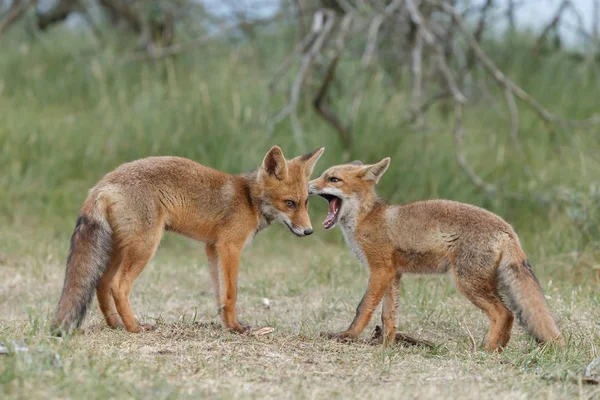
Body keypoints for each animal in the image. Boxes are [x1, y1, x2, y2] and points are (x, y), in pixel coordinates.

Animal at [51, 146, 324, 334]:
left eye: (305, 203)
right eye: (289, 203)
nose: (309, 231)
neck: (248, 198)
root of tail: (102, 184)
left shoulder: (212, 248)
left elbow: (219, 293)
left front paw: (227, 325)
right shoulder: (230, 247)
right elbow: (231, 293)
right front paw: (236, 328)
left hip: (120, 249)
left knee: (101, 283)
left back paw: (117, 324)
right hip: (144, 247)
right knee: (118, 285)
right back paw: (135, 327)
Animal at [310, 158, 564, 352]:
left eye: (333, 179)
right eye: (322, 176)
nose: (308, 185)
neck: (367, 218)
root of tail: (507, 228)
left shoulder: (380, 270)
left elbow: (363, 308)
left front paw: (348, 336)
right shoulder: (393, 274)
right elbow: (389, 316)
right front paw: (386, 346)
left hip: (467, 283)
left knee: (502, 312)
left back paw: (486, 349)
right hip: (484, 282)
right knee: (511, 314)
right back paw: (500, 348)